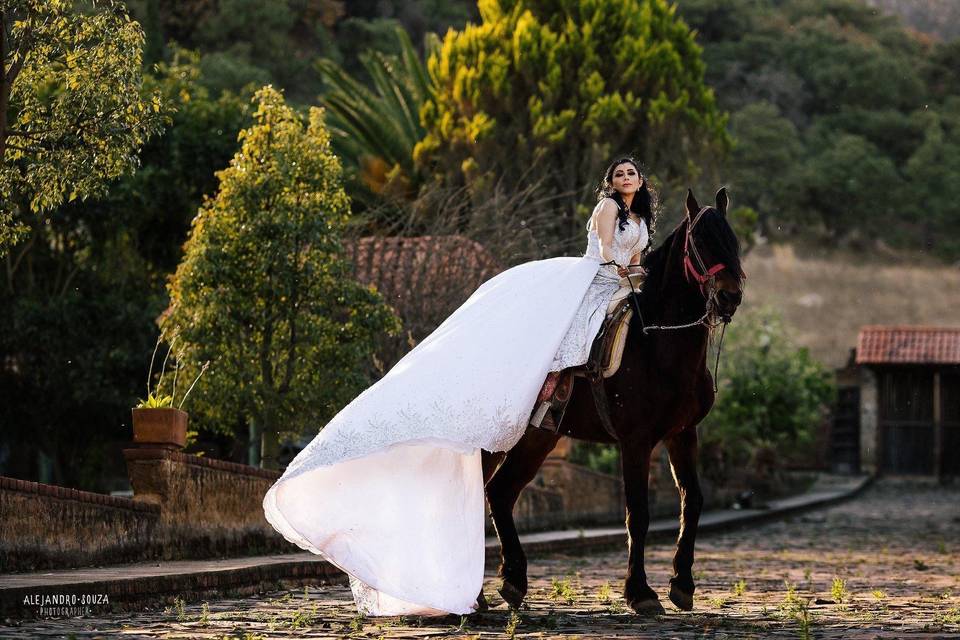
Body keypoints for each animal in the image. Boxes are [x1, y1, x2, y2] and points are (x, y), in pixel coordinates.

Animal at [484, 189, 748, 616]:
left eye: (732, 239)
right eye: (699, 241)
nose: (729, 297)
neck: (657, 344)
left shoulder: (682, 434)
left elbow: (692, 500)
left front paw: (682, 584)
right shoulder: (635, 441)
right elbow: (637, 512)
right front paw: (640, 592)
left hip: (536, 437)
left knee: (499, 493)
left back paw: (510, 583)